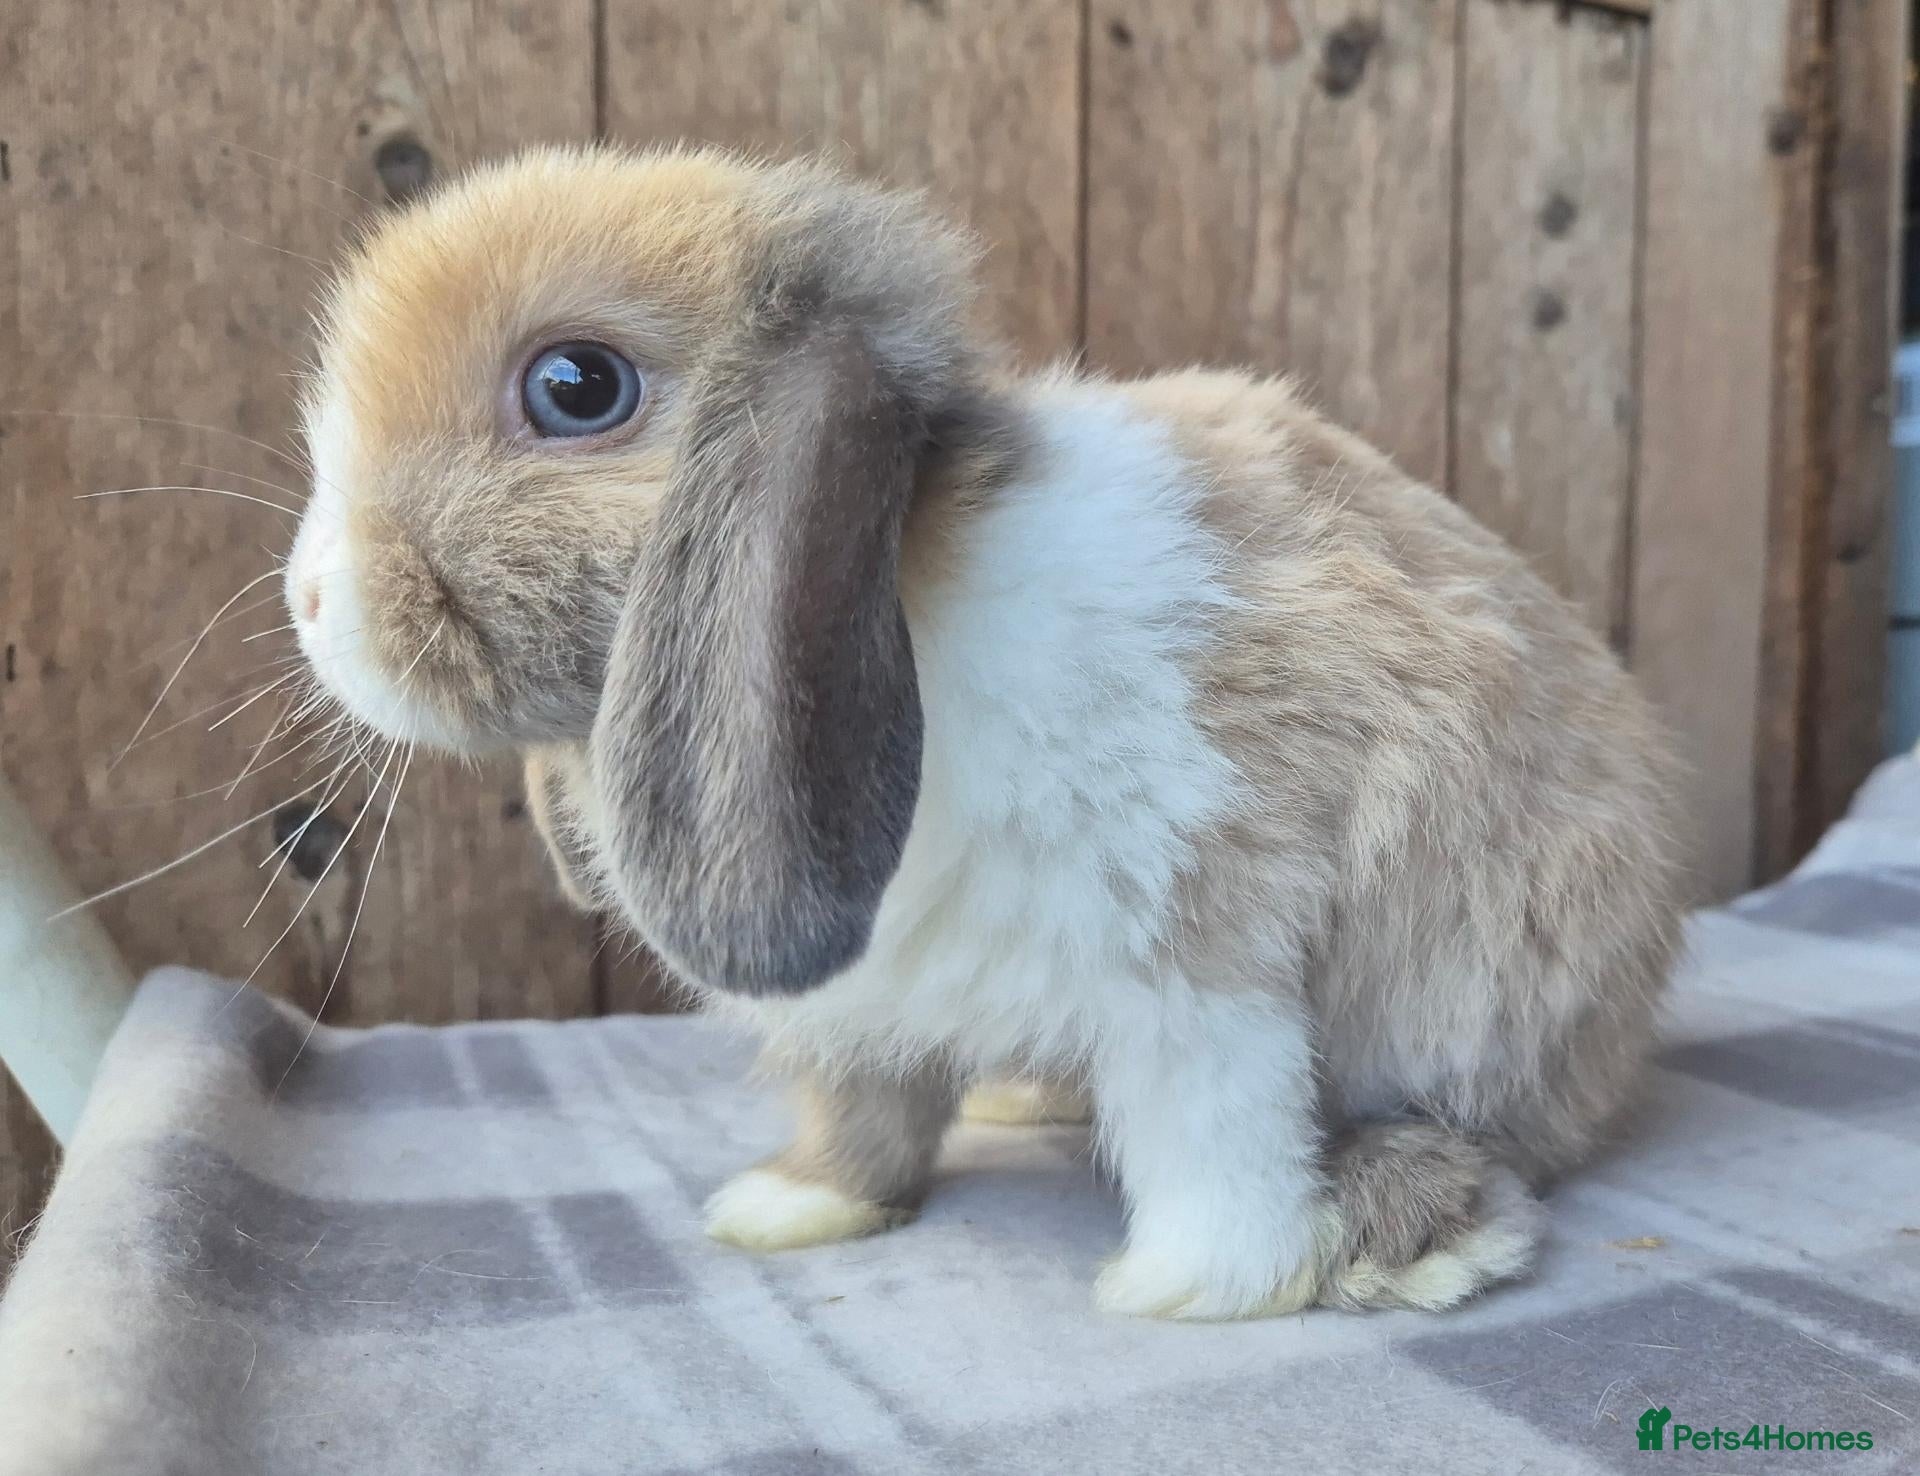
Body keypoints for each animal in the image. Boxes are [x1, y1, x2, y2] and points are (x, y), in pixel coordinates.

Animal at [286, 144, 1685, 1319]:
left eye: (576, 387)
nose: (309, 598)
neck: (908, 608)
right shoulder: (857, 994)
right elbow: (864, 1107)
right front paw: (787, 1207)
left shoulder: (1193, 943)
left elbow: (1213, 1124)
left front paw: (1197, 1289)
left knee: (1493, 1136)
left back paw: (1405, 1235)